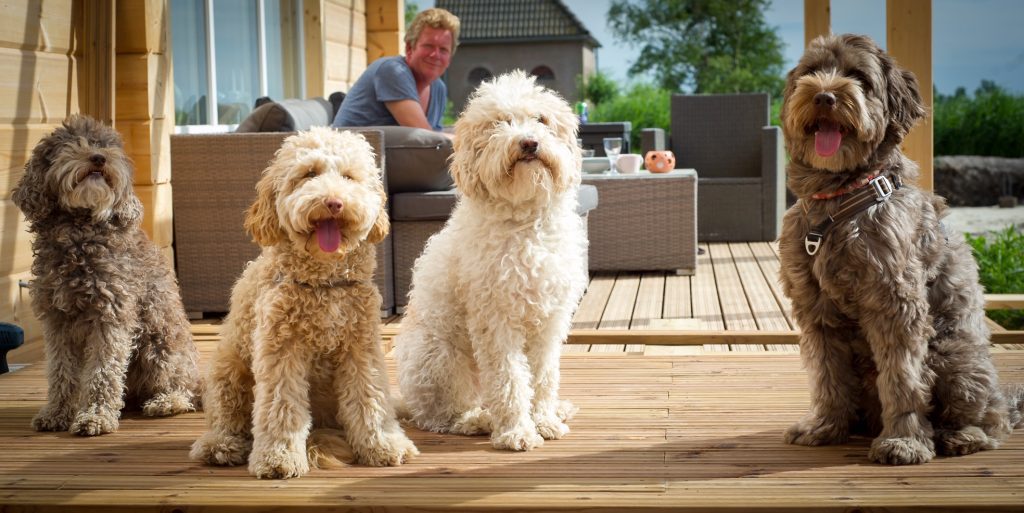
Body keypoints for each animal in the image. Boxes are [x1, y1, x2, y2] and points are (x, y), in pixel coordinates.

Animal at [12, 114, 199, 434]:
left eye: (105, 145)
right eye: (74, 143)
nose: (99, 157)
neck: (81, 232)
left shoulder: (111, 315)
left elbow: (103, 370)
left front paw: (95, 416)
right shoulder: (57, 320)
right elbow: (60, 370)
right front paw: (57, 413)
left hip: (158, 343)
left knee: (182, 386)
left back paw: (165, 402)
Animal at [395, 70, 589, 450]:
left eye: (541, 119)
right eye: (500, 122)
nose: (529, 143)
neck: (526, 223)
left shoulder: (550, 320)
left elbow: (542, 376)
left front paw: (544, 419)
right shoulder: (496, 319)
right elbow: (510, 378)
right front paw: (517, 432)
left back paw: (557, 409)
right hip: (439, 357)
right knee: (440, 415)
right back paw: (476, 420)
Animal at [778, 31, 1019, 464]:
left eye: (859, 77)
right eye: (812, 71)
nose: (823, 96)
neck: (840, 199)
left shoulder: (894, 301)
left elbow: (903, 379)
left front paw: (903, 442)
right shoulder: (817, 309)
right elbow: (827, 374)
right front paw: (825, 426)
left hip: (956, 356)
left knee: (991, 421)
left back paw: (962, 436)